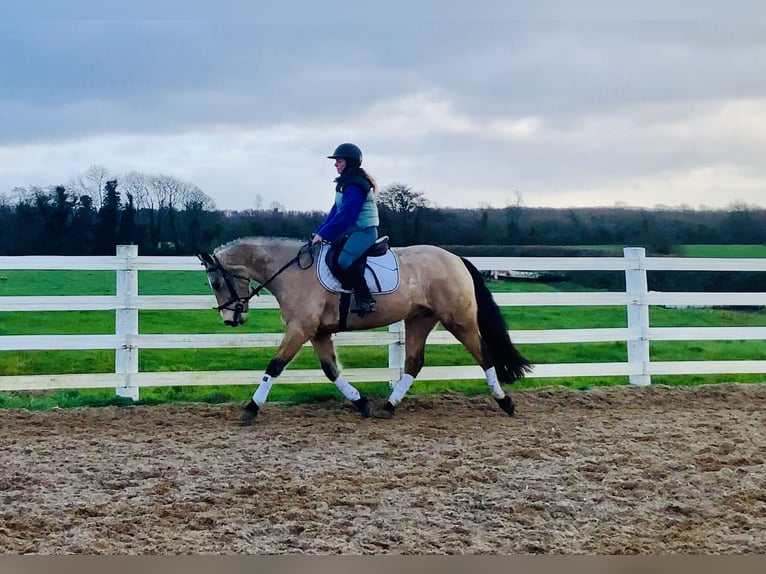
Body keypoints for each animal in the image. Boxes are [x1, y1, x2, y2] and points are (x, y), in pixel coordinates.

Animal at [197, 236, 532, 425]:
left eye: (217, 282)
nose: (230, 319)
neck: (291, 271)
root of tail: (455, 258)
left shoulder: (300, 329)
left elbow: (274, 366)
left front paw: (250, 409)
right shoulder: (317, 332)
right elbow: (331, 370)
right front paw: (361, 403)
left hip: (458, 319)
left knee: (483, 354)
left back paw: (505, 401)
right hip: (419, 319)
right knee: (414, 362)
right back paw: (389, 406)